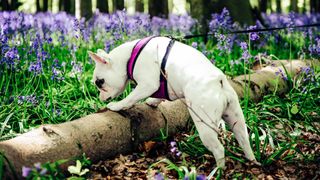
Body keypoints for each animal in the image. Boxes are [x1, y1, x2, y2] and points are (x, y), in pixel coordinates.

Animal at [89, 36, 258, 169]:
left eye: (100, 82)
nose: (100, 98)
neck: (129, 57)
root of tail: (219, 81)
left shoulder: (148, 85)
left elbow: (131, 97)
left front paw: (117, 106)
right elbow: (158, 96)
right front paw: (152, 102)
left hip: (205, 125)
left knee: (218, 150)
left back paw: (218, 171)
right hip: (235, 117)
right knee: (244, 140)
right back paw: (252, 162)